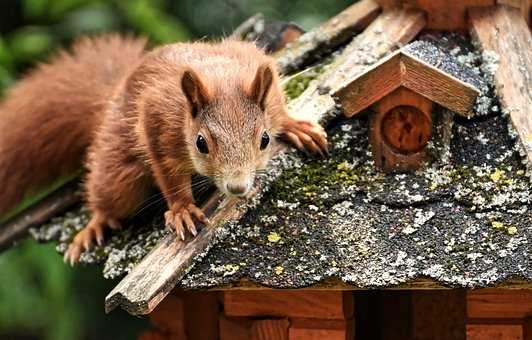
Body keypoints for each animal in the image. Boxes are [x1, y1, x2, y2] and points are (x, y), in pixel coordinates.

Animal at [0, 34, 326, 262]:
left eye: (264, 140)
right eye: (201, 143)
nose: (237, 187)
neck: (220, 80)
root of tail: (112, 98)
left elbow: (279, 109)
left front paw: (296, 125)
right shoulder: (157, 120)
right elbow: (168, 174)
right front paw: (182, 209)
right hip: (119, 169)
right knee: (108, 194)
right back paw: (95, 225)